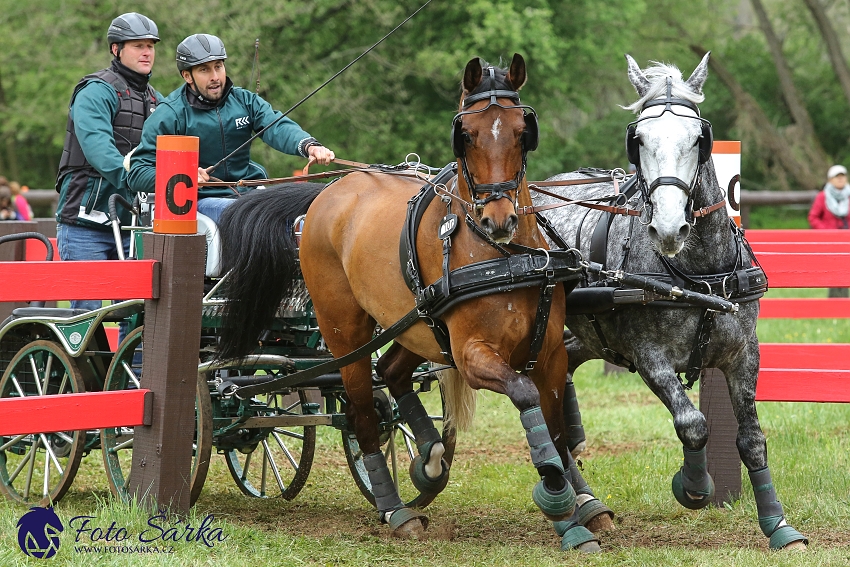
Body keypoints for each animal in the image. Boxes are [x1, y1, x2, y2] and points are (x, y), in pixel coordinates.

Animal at [215, 53, 608, 552]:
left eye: (523, 131)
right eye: (467, 134)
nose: (498, 220)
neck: (506, 258)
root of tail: (330, 190)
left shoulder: (552, 353)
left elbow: (556, 430)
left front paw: (581, 509)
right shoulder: (472, 355)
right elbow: (524, 395)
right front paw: (559, 499)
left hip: (415, 324)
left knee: (391, 373)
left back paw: (430, 459)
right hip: (345, 332)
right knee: (363, 414)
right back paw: (394, 509)